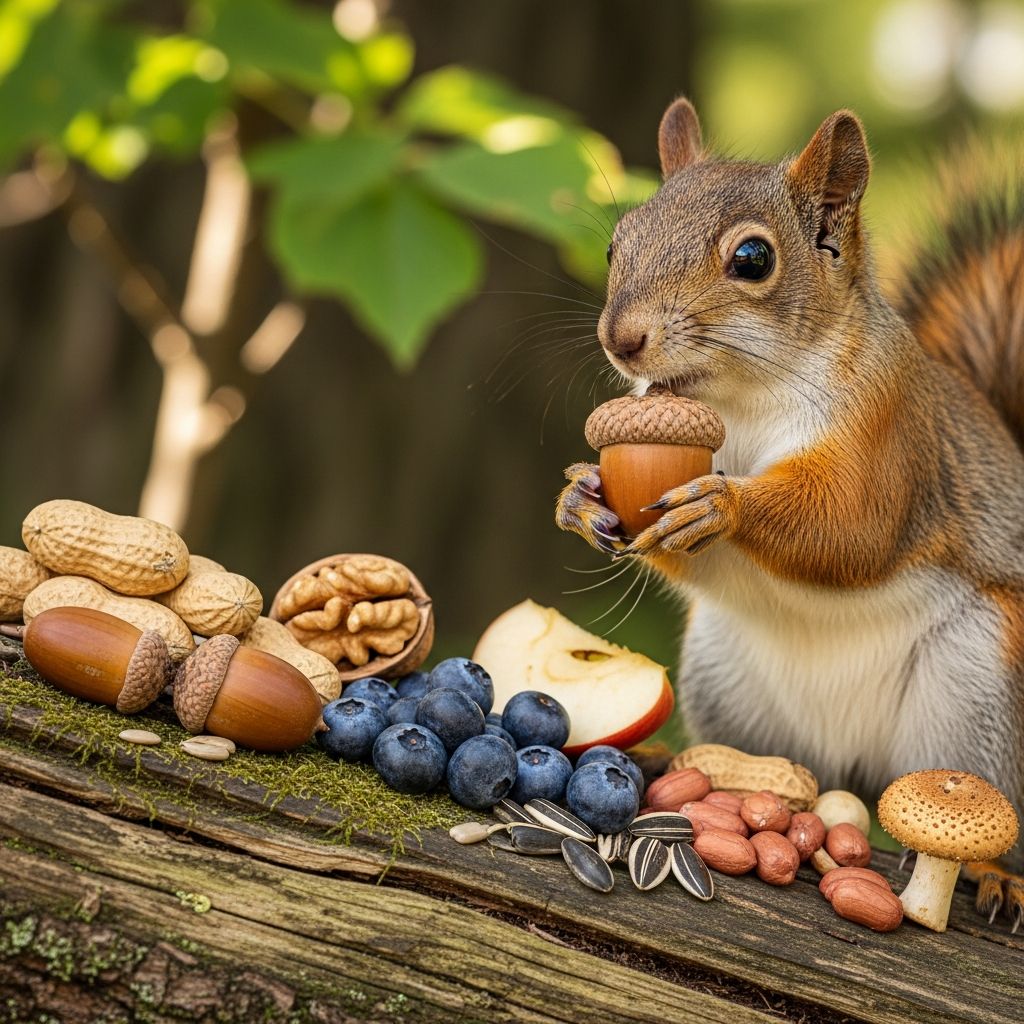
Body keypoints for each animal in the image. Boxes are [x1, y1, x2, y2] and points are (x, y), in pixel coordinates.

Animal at [555, 98, 1024, 925]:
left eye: (752, 259)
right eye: (616, 243)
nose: (622, 339)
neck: (742, 400)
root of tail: (854, 763)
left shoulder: (887, 445)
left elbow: (849, 529)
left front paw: (725, 504)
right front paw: (580, 495)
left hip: (979, 697)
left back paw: (995, 874)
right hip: (730, 683)